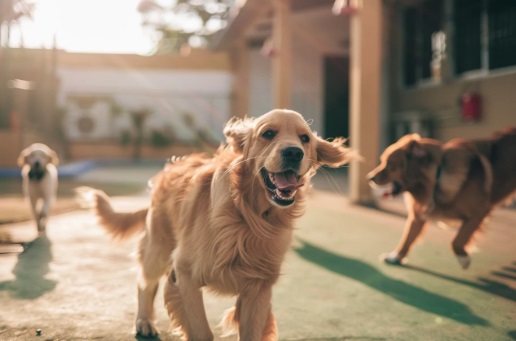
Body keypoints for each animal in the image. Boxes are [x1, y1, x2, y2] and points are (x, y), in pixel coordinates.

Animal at [76, 110, 352, 338]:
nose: (294, 152)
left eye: (305, 138)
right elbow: (201, 331)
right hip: (159, 248)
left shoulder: (258, 289)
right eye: (268, 133)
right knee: (145, 283)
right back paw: (144, 321)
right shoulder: (185, 274)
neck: (248, 217)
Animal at [366, 127, 516, 268]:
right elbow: (407, 238)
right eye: (382, 162)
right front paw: (395, 256)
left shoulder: (478, 213)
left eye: (390, 165)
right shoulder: (417, 216)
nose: (369, 178)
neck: (436, 178)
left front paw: (463, 259)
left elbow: (457, 240)